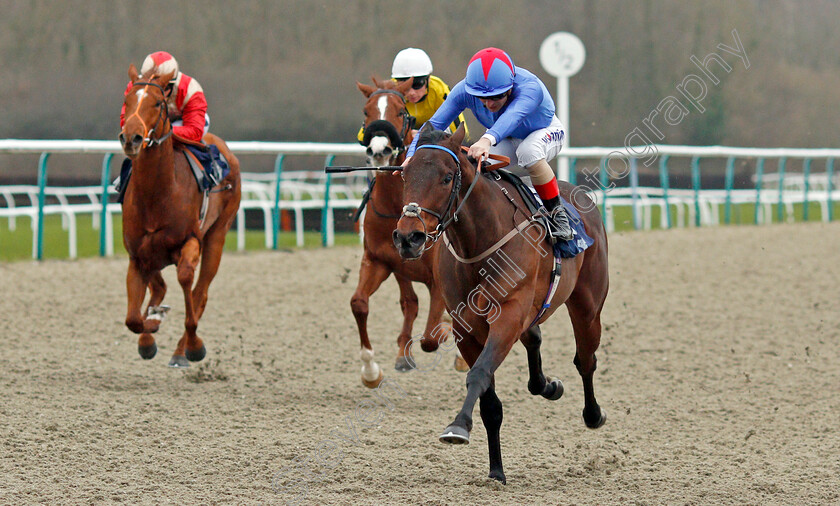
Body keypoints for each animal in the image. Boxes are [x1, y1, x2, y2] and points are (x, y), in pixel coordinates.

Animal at [118, 65, 243, 370]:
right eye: (127, 101)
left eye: (157, 103)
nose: (131, 138)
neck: (158, 193)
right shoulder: (137, 255)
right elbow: (133, 319)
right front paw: (150, 328)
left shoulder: (191, 241)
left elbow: (187, 280)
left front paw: (193, 346)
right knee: (160, 287)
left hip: (218, 235)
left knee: (200, 292)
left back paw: (180, 350)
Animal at [350, 78, 462, 388]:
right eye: (366, 111)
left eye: (400, 111)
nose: (380, 149)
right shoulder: (378, 261)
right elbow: (359, 304)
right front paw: (370, 371)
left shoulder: (438, 278)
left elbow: (434, 332)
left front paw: (445, 332)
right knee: (410, 303)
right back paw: (403, 354)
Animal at [394, 124, 612, 484]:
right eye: (404, 174)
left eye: (445, 177)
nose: (407, 237)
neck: (480, 242)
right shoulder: (466, 328)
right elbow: (489, 403)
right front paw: (496, 469)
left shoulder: (508, 315)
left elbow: (480, 373)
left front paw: (457, 426)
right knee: (535, 339)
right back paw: (547, 386)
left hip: (588, 305)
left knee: (585, 359)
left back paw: (593, 414)